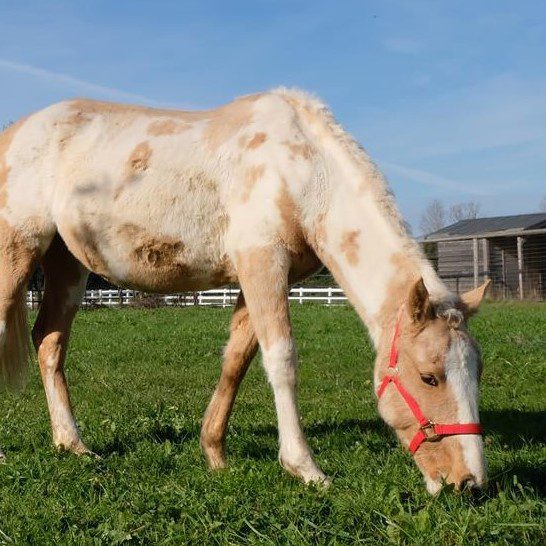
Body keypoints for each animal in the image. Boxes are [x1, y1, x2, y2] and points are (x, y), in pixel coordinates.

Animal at [0, 88, 488, 488]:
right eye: (428, 377)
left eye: (477, 372)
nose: (469, 483)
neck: (302, 173)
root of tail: (15, 132)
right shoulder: (262, 263)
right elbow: (281, 359)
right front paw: (305, 467)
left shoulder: (266, 277)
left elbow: (237, 359)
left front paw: (214, 453)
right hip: (18, 253)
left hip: (66, 265)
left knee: (48, 343)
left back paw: (72, 445)